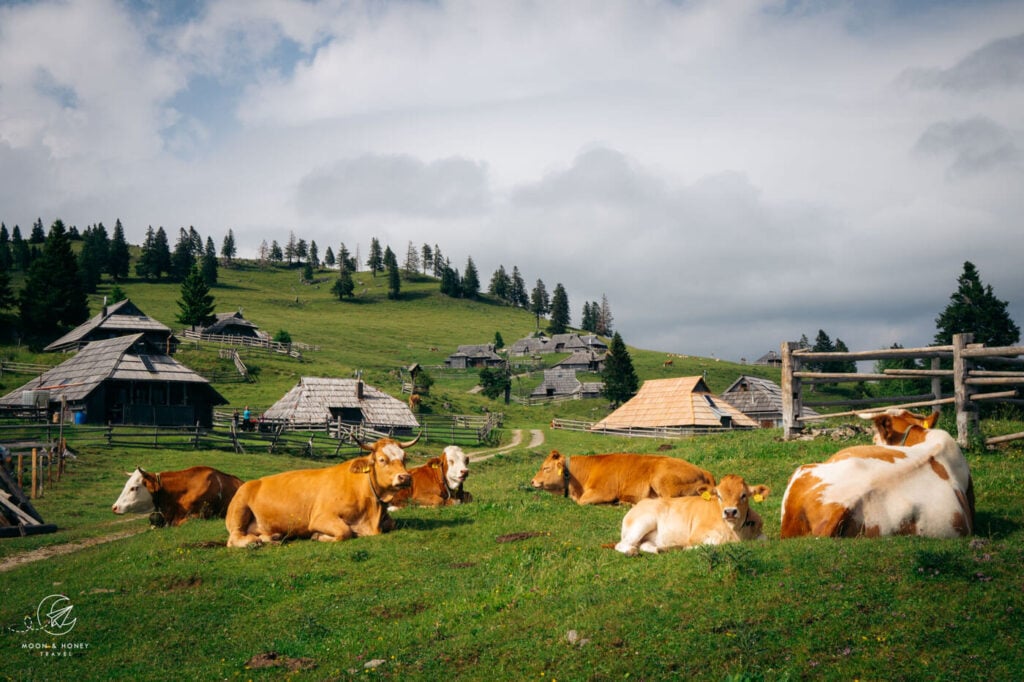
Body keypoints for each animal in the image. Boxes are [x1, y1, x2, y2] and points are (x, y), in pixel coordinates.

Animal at [225, 436, 415, 548]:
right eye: (382, 459)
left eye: (404, 458)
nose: (405, 477)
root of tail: (253, 482)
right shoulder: (320, 518)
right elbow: (344, 532)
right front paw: (317, 536)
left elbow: (392, 524)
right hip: (239, 509)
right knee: (233, 538)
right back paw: (253, 541)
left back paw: (273, 537)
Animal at [532, 450, 716, 503]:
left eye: (545, 468)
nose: (532, 481)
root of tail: (703, 471)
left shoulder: (603, 491)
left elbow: (582, 502)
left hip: (662, 482)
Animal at [606, 473, 770, 552]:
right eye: (719, 495)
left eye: (743, 495)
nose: (730, 512)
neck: (735, 531)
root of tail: (641, 503)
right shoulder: (697, 535)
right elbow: (717, 542)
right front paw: (689, 548)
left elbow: (764, 539)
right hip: (643, 522)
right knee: (623, 544)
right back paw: (631, 551)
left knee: (645, 545)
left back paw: (663, 549)